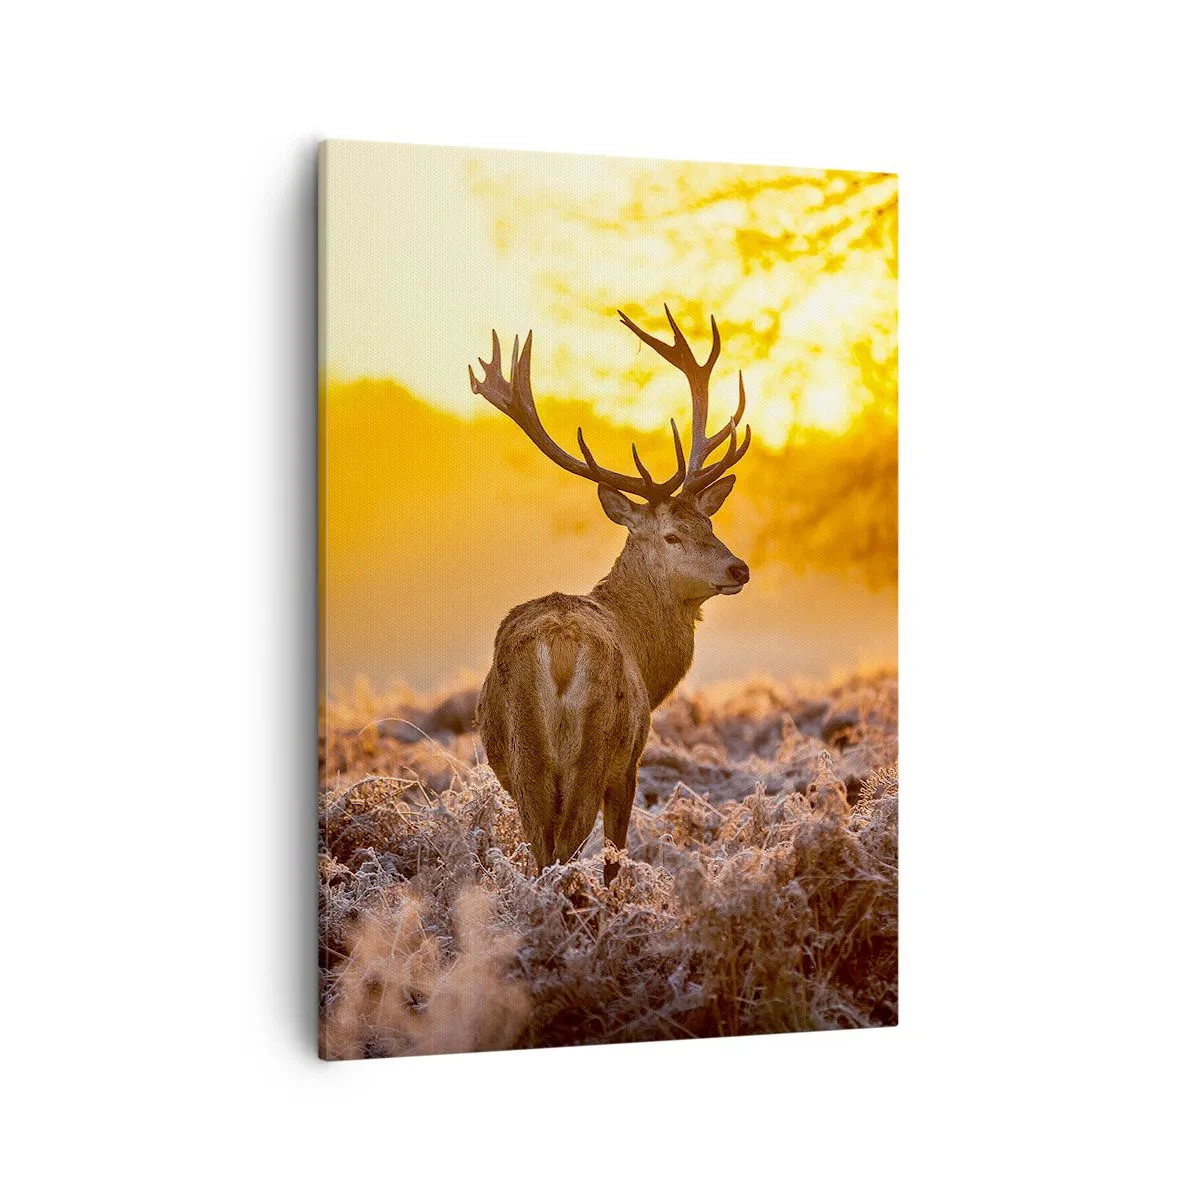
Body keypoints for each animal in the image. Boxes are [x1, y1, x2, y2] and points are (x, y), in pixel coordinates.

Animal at [469, 306, 752, 885]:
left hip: (526, 760)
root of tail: (558, 650)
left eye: (709, 522)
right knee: (565, 853)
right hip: (593, 751)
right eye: (671, 535)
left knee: (541, 854)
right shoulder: (631, 761)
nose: (739, 567)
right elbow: (615, 857)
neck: (649, 659)